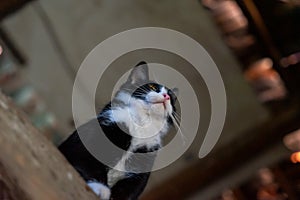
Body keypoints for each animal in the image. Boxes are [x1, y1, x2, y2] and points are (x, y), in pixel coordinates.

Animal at [58, 61, 178, 199]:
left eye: (172, 97)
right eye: (152, 86)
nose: (167, 96)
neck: (141, 125)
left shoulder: (143, 166)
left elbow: (129, 191)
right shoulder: (88, 142)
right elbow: (89, 165)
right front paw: (100, 188)